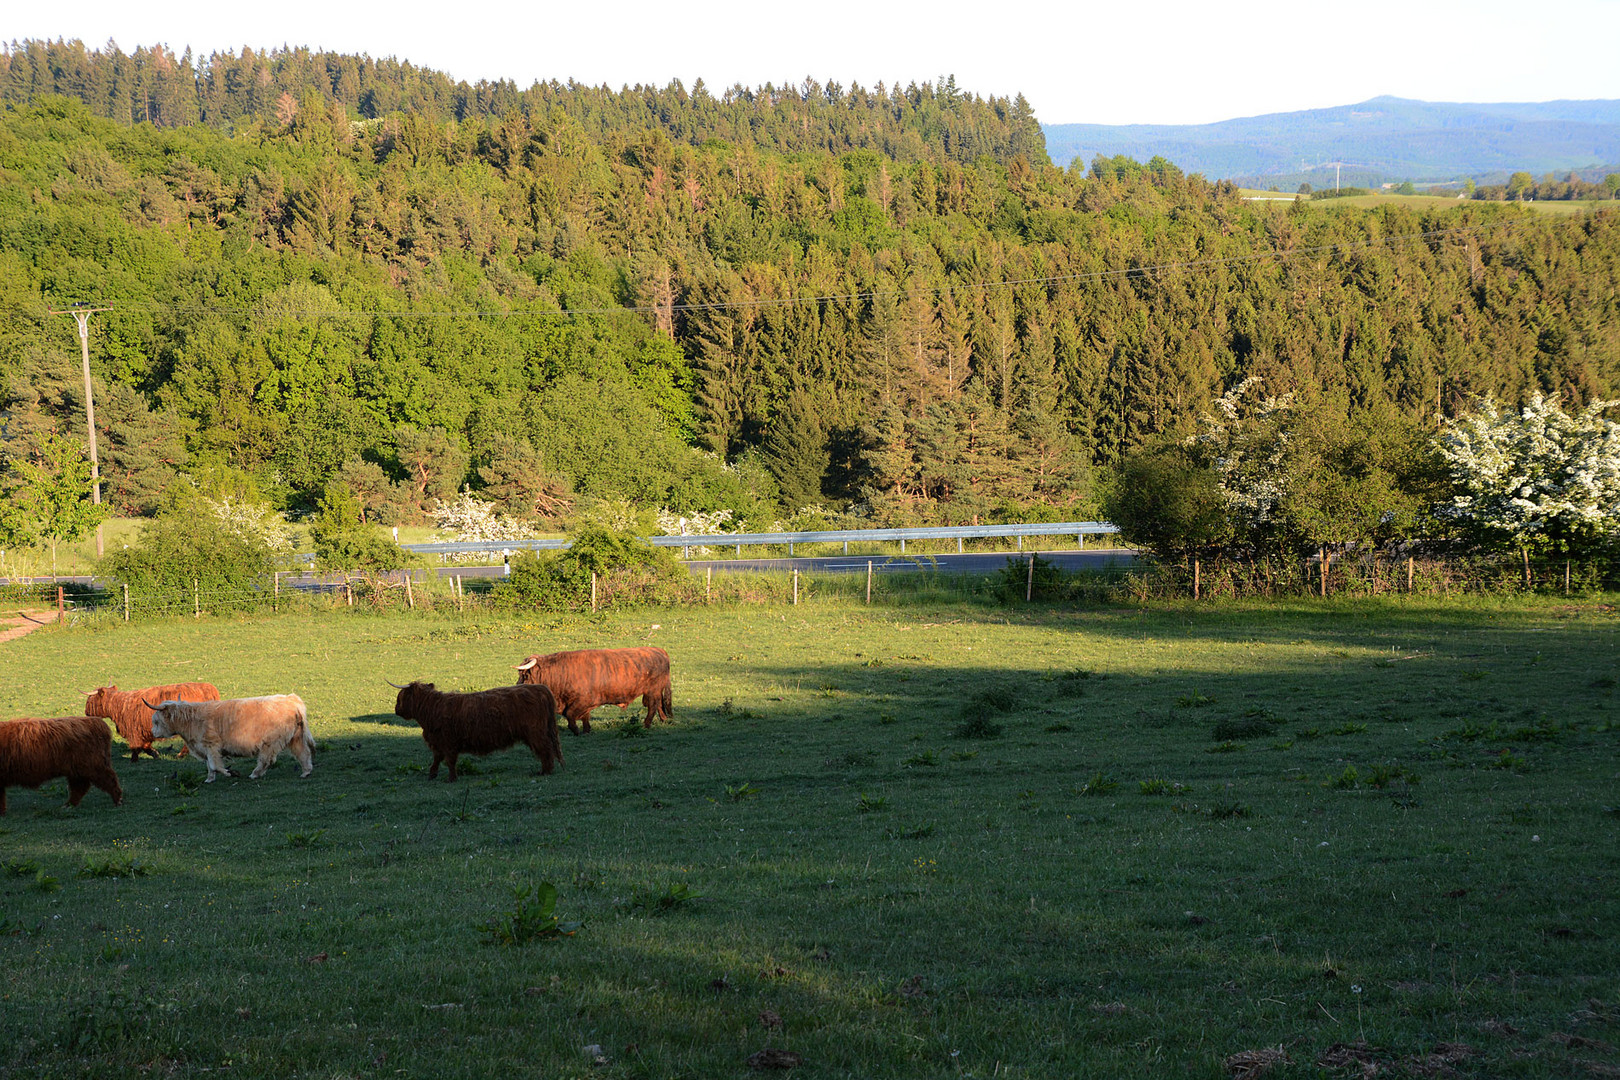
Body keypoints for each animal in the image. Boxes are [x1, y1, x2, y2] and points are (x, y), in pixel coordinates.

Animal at [85, 683, 220, 761]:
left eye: (90, 699)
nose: (86, 712)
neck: (119, 705)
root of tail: (209, 689)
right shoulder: (143, 730)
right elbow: (145, 745)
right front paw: (155, 753)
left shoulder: (134, 730)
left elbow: (137, 746)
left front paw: (135, 758)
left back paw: (181, 755)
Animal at [387, 680, 560, 780]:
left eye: (399, 697)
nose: (396, 710)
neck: (432, 709)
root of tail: (540, 688)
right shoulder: (438, 743)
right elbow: (437, 759)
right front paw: (432, 775)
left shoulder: (448, 742)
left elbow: (450, 761)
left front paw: (452, 778)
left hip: (535, 732)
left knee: (546, 750)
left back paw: (545, 771)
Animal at [515, 647, 673, 738]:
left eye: (525, 675)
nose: (517, 686)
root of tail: (658, 650)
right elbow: (584, 717)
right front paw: (586, 730)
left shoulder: (584, 700)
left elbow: (570, 714)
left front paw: (576, 730)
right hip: (655, 691)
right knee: (659, 704)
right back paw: (664, 720)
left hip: (653, 690)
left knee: (653, 706)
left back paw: (646, 725)